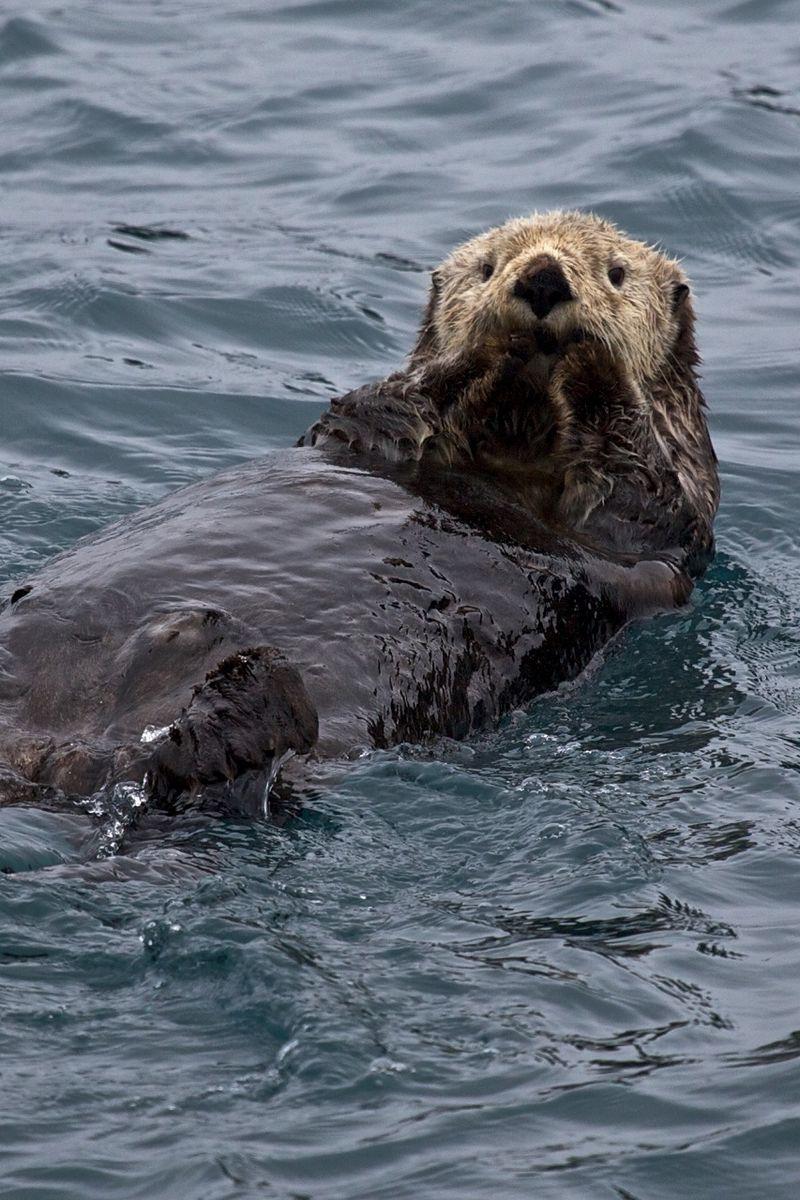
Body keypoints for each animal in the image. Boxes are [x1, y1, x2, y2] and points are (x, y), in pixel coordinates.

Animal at [0, 211, 718, 813]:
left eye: (616, 273)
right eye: (487, 266)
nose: (542, 277)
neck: (515, 438)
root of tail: (58, 761)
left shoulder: (665, 514)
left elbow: (637, 483)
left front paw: (589, 359)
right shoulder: (363, 431)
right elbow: (386, 404)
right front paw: (478, 353)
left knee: (203, 775)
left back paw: (241, 700)